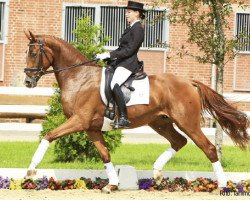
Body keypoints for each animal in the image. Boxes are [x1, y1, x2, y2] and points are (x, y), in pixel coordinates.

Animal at [23, 32, 248, 193]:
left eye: (33, 54)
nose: (27, 82)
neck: (80, 78)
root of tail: (189, 82)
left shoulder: (80, 121)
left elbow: (48, 136)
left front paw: (31, 170)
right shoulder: (91, 128)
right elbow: (105, 154)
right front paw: (112, 184)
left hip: (187, 122)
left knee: (208, 148)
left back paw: (221, 186)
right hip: (160, 122)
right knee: (179, 141)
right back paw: (157, 173)